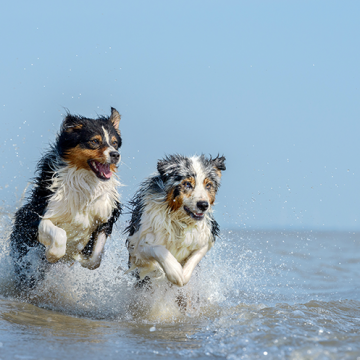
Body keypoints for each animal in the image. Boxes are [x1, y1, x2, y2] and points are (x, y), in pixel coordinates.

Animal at [10, 107, 123, 290]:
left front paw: (81, 257)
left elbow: (95, 260)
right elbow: (60, 236)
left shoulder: (106, 217)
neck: (86, 181)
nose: (115, 155)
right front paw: (52, 255)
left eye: (114, 142)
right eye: (94, 141)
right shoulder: (43, 214)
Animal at [124, 153, 225, 288]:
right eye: (187, 184)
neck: (178, 219)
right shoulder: (137, 244)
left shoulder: (206, 236)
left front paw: (184, 275)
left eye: (208, 185)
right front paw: (175, 272)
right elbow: (157, 249)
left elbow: (196, 256)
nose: (203, 205)